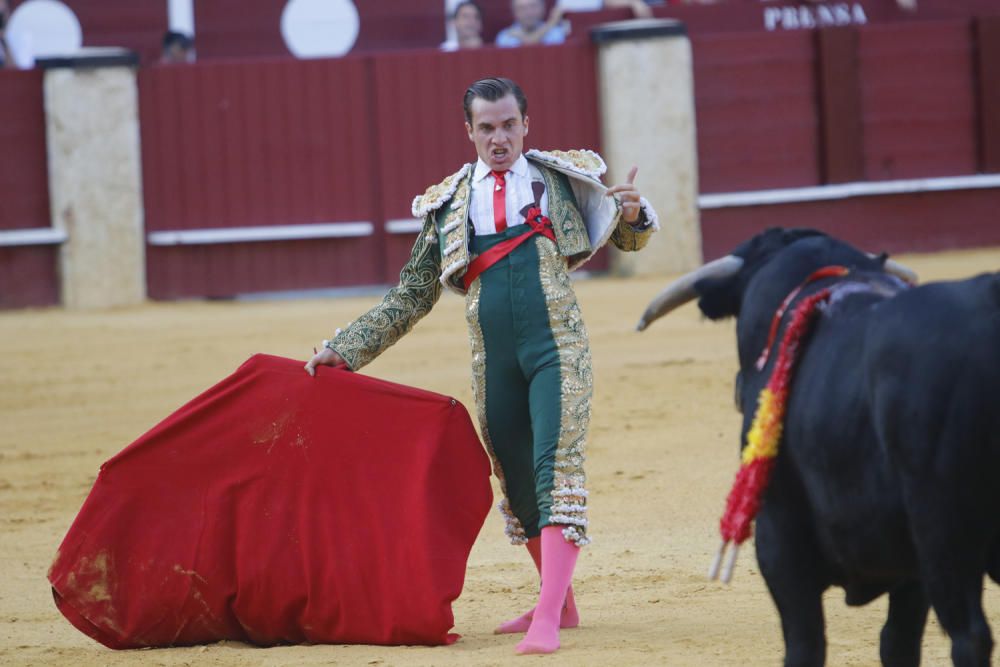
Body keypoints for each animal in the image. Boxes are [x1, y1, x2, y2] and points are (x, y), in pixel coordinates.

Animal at [640, 230, 1000, 667]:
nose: (740, 391)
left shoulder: (779, 541)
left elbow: (805, 642)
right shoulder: (910, 571)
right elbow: (897, 641)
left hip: (942, 527)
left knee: (969, 635)